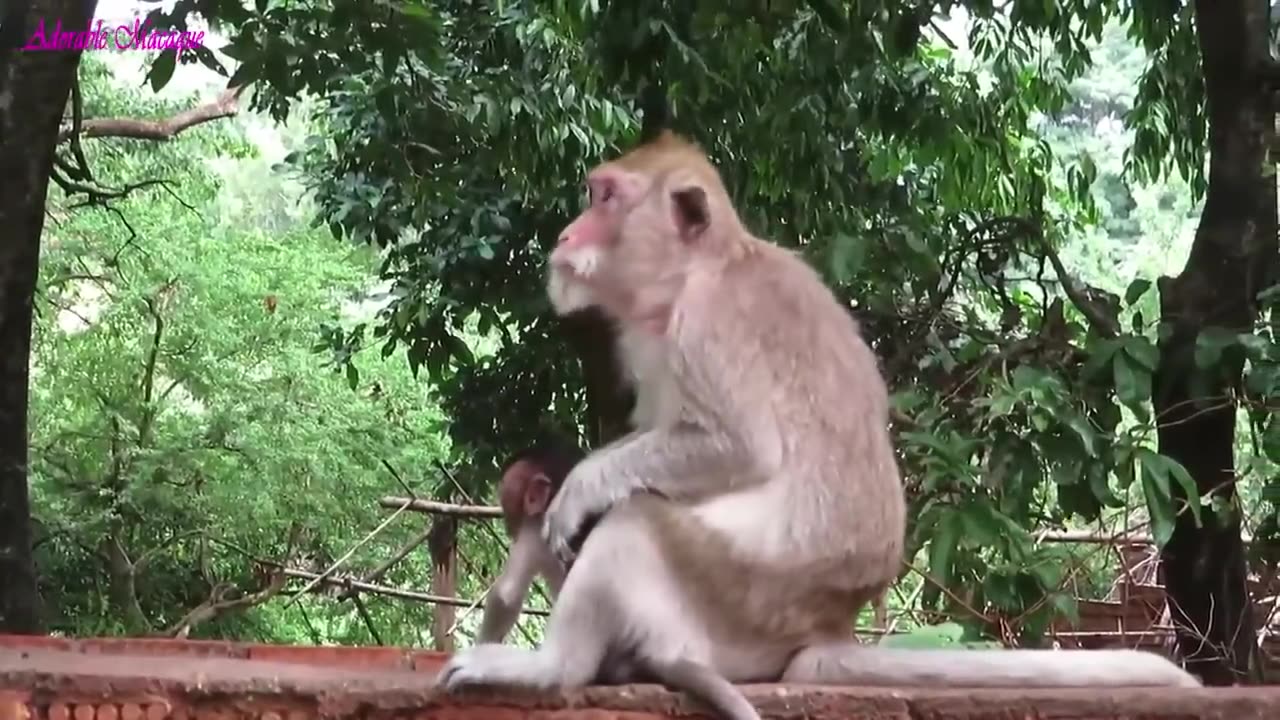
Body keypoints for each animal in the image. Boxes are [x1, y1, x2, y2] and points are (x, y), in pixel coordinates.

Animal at [437, 130, 1198, 707]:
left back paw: (550, 666)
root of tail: (826, 631)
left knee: (639, 519)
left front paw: (580, 488)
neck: (696, 273)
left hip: (735, 598)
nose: (568, 233)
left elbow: (738, 450)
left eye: (606, 198)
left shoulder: (708, 328)